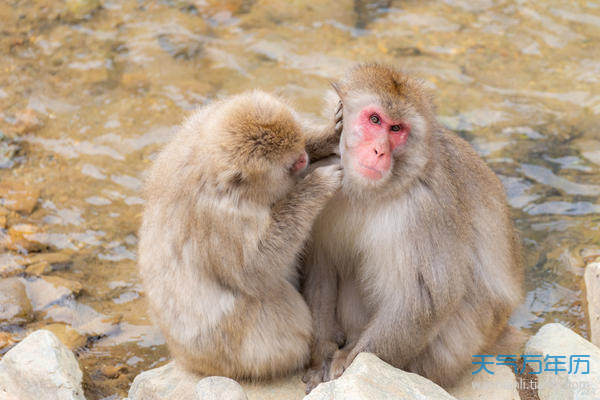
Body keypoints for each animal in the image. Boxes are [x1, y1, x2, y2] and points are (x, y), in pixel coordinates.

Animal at [137, 90, 342, 382]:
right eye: (293, 165)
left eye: (300, 149)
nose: (304, 157)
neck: (207, 162)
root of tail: (184, 358)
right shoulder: (220, 217)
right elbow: (253, 268)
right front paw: (316, 185)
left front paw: (328, 135)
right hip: (230, 350)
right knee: (271, 298)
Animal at [302, 64, 524, 392]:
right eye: (374, 120)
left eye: (397, 129)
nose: (379, 151)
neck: (372, 191)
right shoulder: (324, 175)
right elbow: (321, 269)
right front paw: (321, 355)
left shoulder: (426, 206)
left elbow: (425, 298)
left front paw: (348, 362)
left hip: (455, 349)